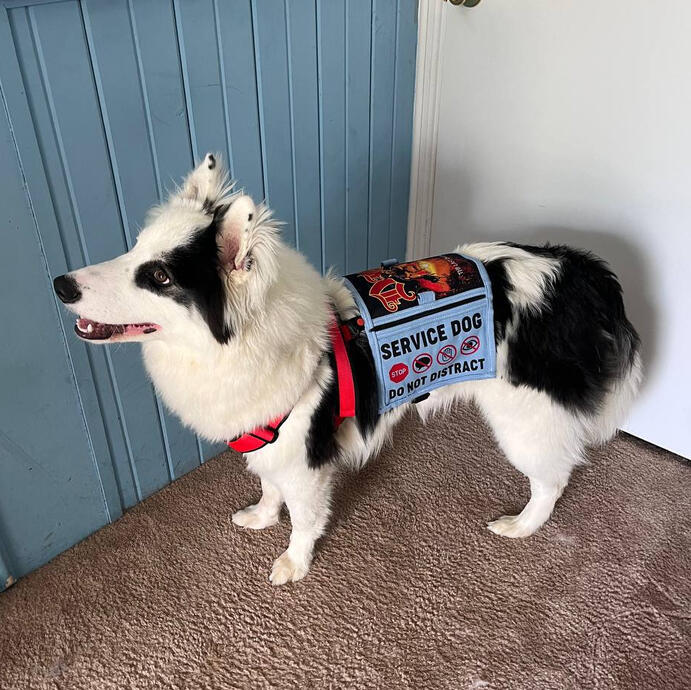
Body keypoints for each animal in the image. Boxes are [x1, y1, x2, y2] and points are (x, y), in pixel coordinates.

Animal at [52, 153, 644, 584]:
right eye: (134, 251)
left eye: (158, 277)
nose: (60, 285)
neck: (240, 340)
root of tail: (577, 270)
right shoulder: (269, 442)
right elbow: (269, 487)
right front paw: (262, 517)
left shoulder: (306, 457)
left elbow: (304, 517)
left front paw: (294, 564)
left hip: (525, 419)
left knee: (553, 478)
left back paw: (522, 526)